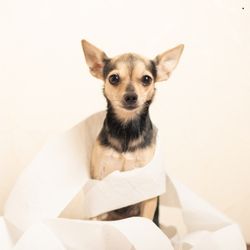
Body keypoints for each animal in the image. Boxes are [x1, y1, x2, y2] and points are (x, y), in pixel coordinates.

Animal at [81, 40, 183, 224]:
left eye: (146, 79)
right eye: (113, 78)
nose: (130, 96)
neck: (127, 129)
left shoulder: (148, 195)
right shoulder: (99, 182)